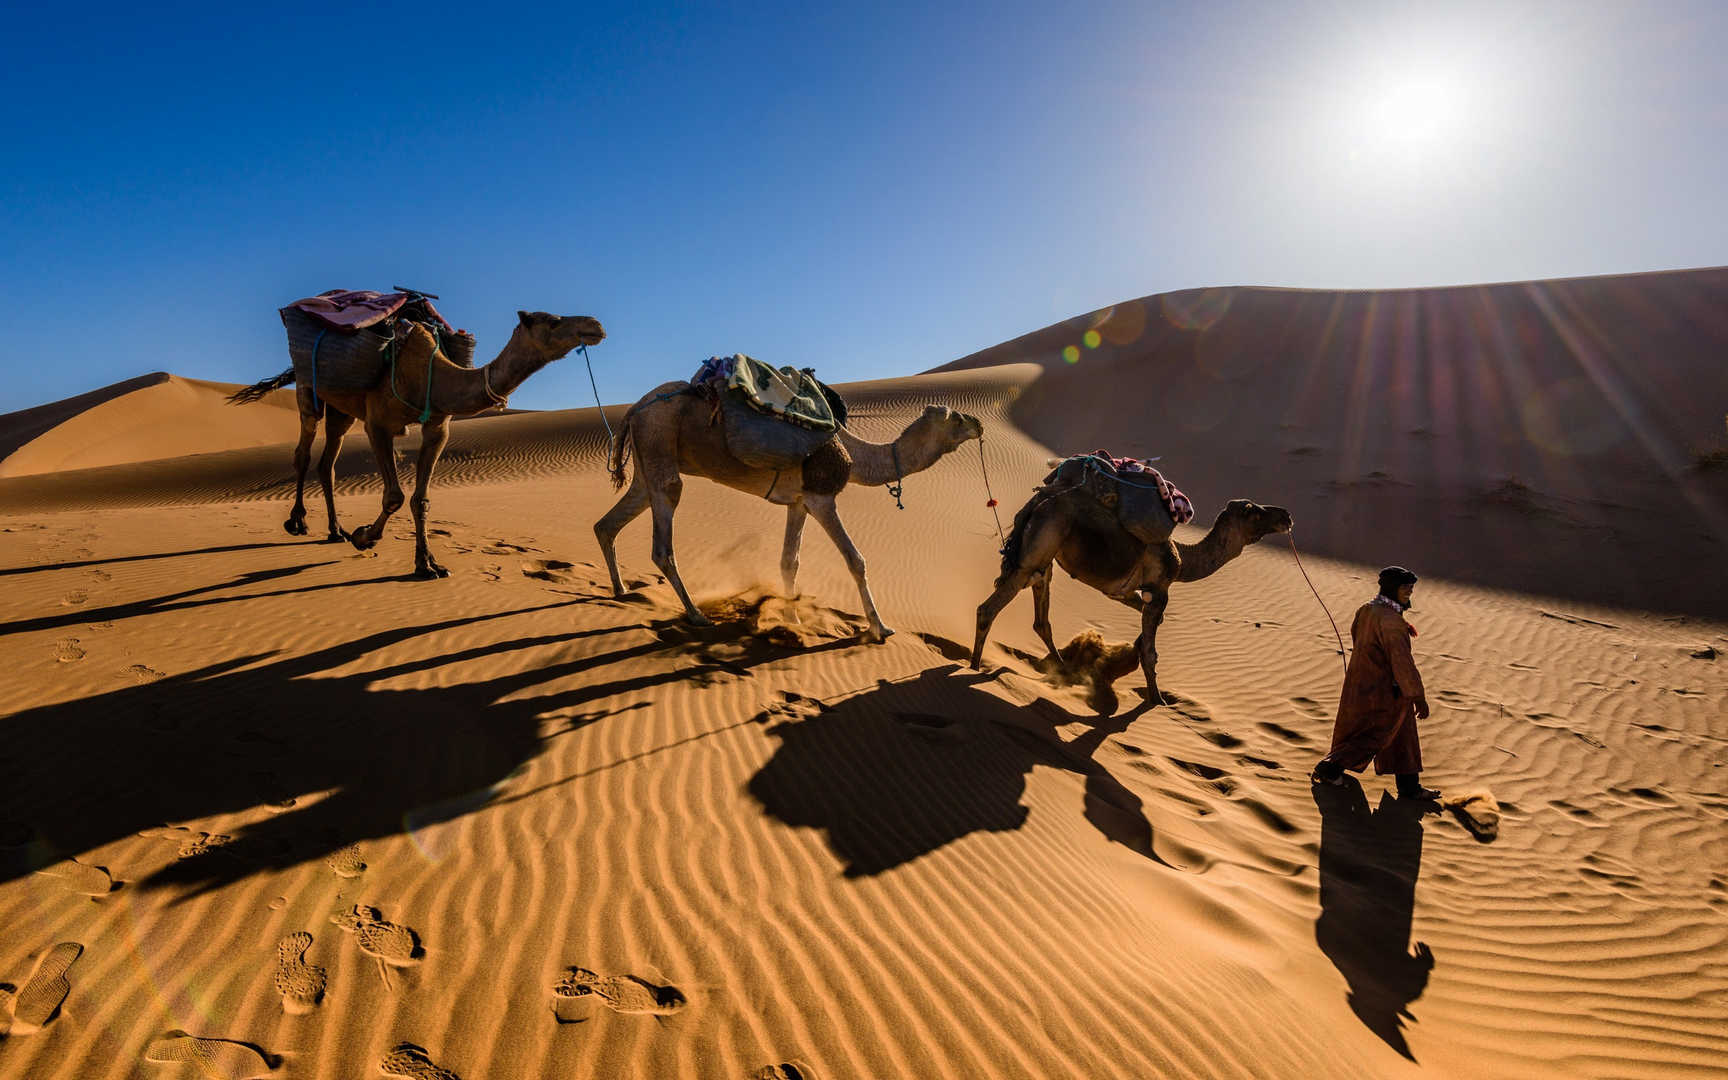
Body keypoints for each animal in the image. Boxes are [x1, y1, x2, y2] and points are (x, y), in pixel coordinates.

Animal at [229, 307, 608, 577]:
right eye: (553, 321)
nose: (596, 325)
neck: (431, 373)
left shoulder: (438, 426)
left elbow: (421, 499)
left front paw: (427, 564)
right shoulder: (378, 424)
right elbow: (394, 495)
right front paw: (364, 537)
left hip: (342, 409)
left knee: (328, 464)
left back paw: (335, 530)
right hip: (310, 390)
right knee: (303, 453)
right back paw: (298, 522)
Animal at [594, 383, 981, 639]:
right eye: (955, 418)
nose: (978, 423)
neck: (855, 455)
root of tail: (634, 410)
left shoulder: (799, 502)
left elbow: (788, 562)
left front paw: (792, 619)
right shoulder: (822, 497)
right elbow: (855, 559)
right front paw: (880, 628)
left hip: (647, 462)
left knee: (609, 522)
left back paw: (621, 591)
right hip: (659, 440)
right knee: (663, 538)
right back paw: (696, 615)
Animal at [974, 483, 1285, 705]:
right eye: (1254, 511)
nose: (1286, 516)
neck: (1183, 560)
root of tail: (1037, 502)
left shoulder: (1124, 592)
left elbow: (1148, 629)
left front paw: (1130, 655)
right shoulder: (1160, 591)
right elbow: (1151, 651)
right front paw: (1157, 701)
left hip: (1043, 559)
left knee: (1041, 619)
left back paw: (1063, 670)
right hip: (1037, 551)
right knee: (988, 610)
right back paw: (975, 667)